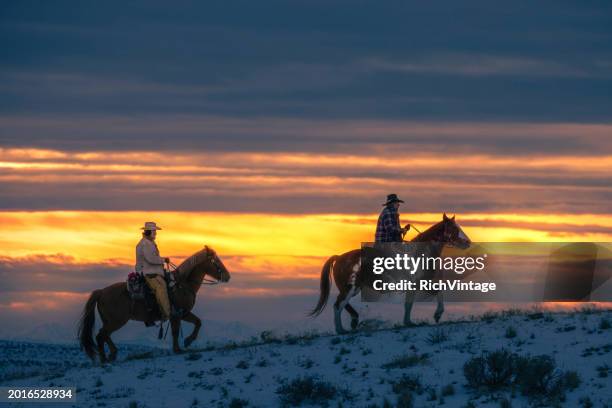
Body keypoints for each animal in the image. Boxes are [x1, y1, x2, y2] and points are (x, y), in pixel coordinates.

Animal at [77, 244, 230, 362]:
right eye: (215, 260)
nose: (228, 276)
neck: (182, 285)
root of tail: (101, 292)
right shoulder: (177, 313)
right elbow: (178, 331)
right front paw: (183, 345)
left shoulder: (182, 313)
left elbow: (197, 323)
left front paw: (183, 344)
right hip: (117, 321)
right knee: (101, 335)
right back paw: (105, 359)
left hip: (110, 321)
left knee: (104, 335)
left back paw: (112, 354)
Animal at [310, 215, 474, 334]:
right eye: (453, 228)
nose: (468, 242)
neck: (420, 252)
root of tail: (339, 257)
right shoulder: (418, 283)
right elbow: (433, 293)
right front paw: (437, 314)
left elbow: (412, 302)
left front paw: (409, 322)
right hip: (350, 288)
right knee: (338, 305)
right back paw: (341, 329)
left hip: (352, 289)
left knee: (341, 304)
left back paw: (352, 322)